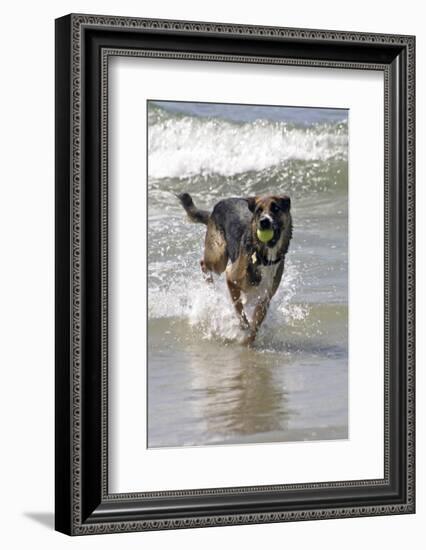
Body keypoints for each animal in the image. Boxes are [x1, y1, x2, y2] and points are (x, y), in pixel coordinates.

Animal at [177, 192, 292, 342]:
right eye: (259, 211)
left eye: (276, 208)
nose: (264, 222)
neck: (264, 257)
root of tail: (217, 206)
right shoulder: (231, 277)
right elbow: (238, 308)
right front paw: (243, 326)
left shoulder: (265, 299)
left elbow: (255, 325)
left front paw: (249, 340)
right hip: (219, 257)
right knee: (203, 263)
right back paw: (210, 287)